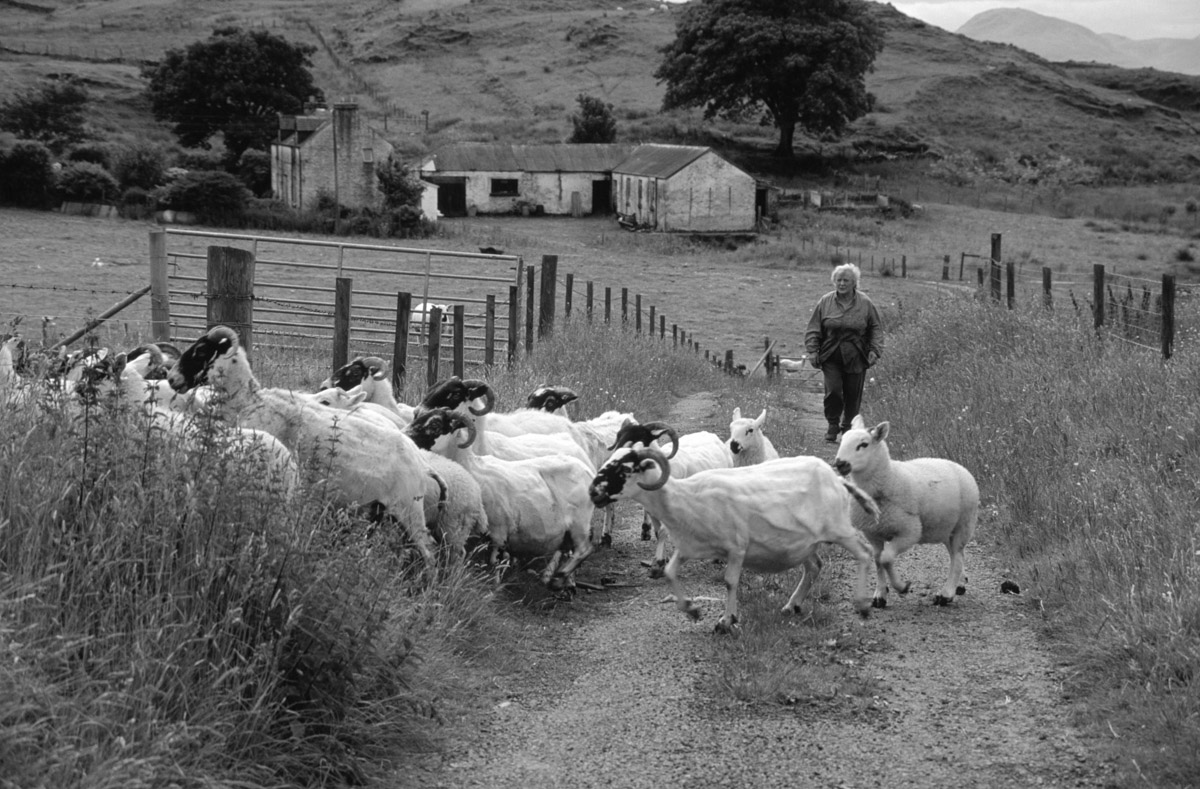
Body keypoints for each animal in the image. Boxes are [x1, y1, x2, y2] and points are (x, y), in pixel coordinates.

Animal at [164, 323, 436, 568]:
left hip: (409, 506)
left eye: (201, 350)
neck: (248, 402)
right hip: (380, 508)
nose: (172, 378)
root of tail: (419, 457)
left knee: (428, 550)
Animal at [588, 446, 878, 628]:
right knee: (815, 567)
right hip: (803, 544)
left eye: (623, 470)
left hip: (838, 528)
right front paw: (692, 610)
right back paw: (791, 605)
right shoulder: (689, 547)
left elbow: (729, 582)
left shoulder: (737, 548)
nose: (593, 493)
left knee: (865, 553)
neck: (684, 499)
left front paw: (726, 621)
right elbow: (670, 572)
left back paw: (862, 605)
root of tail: (838, 479)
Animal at [609, 422, 729, 575]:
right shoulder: (652, 511)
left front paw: (659, 564)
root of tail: (710, 435)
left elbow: (662, 532)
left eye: (640, 438)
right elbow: (657, 532)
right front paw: (662, 559)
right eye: (619, 435)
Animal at [830, 414, 979, 604]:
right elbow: (878, 560)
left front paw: (901, 587)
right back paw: (960, 585)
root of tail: (961, 467)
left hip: (964, 523)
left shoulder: (909, 532)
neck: (889, 478)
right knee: (956, 555)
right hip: (946, 528)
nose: (840, 463)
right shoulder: (873, 533)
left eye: (863, 444)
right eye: (843, 440)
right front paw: (880, 595)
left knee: (957, 559)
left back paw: (946, 594)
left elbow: (886, 559)